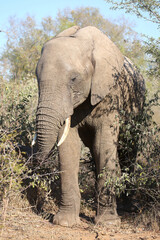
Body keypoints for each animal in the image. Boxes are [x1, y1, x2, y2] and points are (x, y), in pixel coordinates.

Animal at [35, 25, 145, 227]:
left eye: (73, 79)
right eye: (37, 78)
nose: (37, 162)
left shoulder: (110, 94)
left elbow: (104, 145)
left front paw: (108, 223)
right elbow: (68, 146)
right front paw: (64, 222)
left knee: (128, 150)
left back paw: (130, 208)